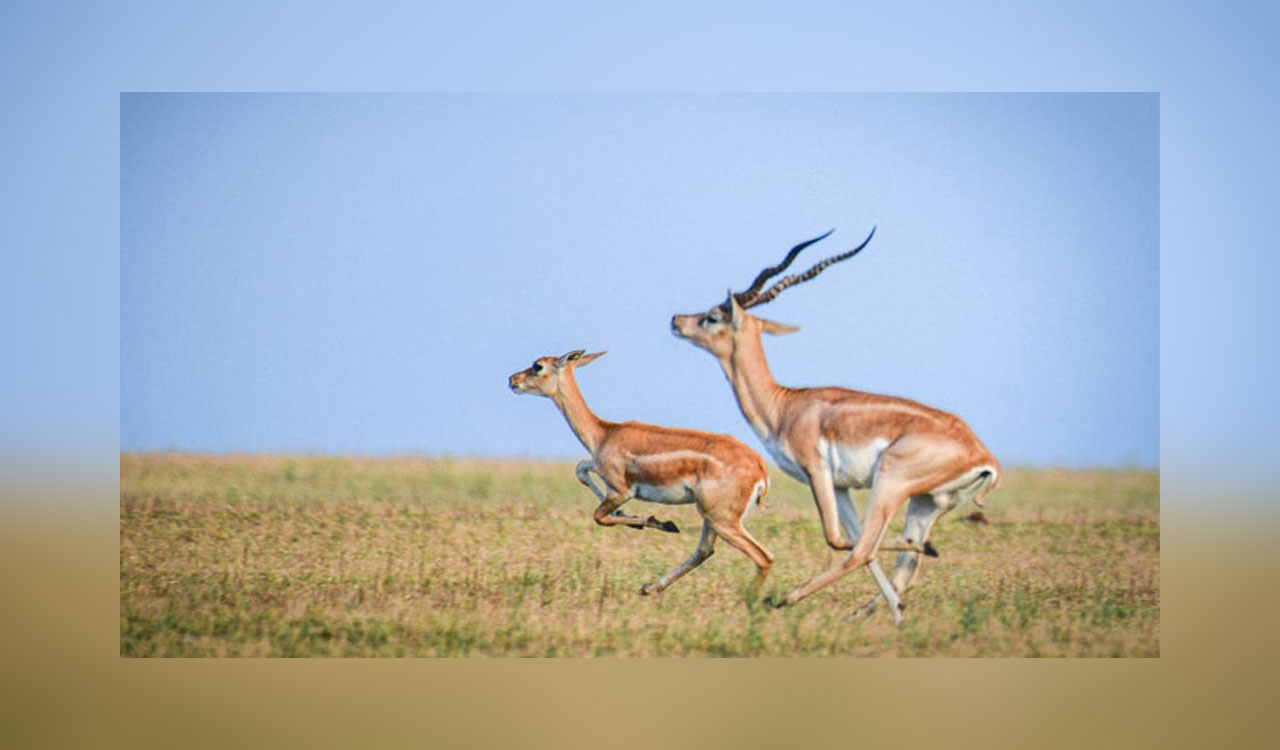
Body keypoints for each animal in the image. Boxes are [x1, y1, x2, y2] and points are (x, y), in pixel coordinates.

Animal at [508, 349, 775, 598]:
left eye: (538, 366)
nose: (512, 380)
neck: (604, 433)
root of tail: (760, 469)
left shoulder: (620, 490)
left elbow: (599, 516)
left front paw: (656, 523)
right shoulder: (600, 471)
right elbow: (581, 469)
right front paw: (649, 521)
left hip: (721, 519)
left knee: (763, 557)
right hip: (712, 518)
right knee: (705, 550)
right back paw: (649, 587)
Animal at [670, 229, 1000, 622]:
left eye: (712, 316)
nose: (676, 320)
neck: (785, 405)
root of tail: (983, 456)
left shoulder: (817, 471)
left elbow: (838, 538)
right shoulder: (842, 486)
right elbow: (854, 541)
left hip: (889, 483)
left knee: (865, 548)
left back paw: (786, 599)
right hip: (926, 503)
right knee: (901, 564)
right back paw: (885, 613)